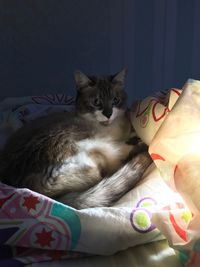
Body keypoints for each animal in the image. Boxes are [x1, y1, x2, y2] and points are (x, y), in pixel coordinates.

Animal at [0, 68, 151, 209]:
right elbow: (128, 145)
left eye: (115, 101)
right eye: (96, 102)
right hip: (96, 147)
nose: (108, 114)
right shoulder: (111, 142)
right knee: (109, 168)